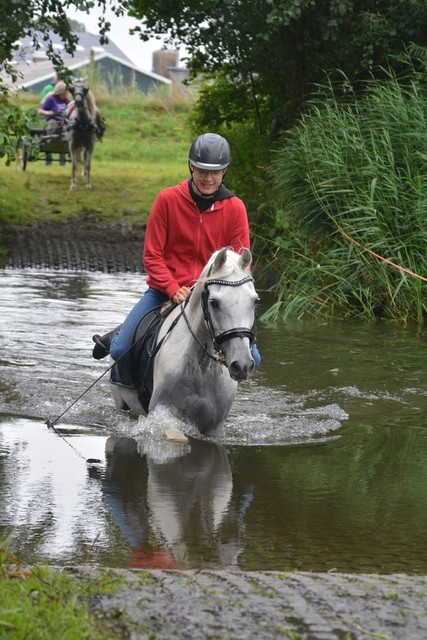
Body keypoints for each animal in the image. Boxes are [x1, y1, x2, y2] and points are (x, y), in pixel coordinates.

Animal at [110, 248, 260, 438]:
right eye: (214, 303)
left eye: (255, 301)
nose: (242, 365)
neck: (201, 367)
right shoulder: (162, 412)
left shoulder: (215, 427)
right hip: (121, 403)